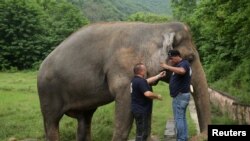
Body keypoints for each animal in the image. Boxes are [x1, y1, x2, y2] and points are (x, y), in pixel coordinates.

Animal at [36, 21, 209, 140]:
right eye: (190, 58)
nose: (199, 135)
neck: (155, 27)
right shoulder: (122, 69)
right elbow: (125, 103)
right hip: (47, 92)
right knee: (51, 122)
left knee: (84, 119)